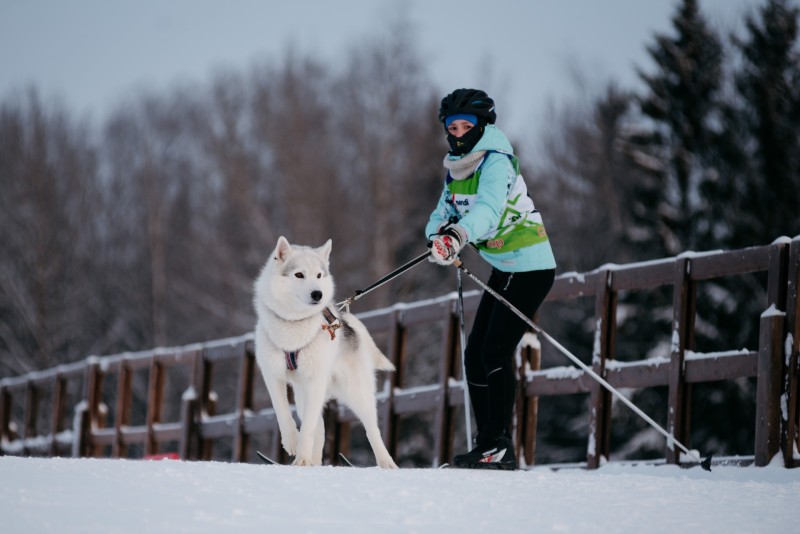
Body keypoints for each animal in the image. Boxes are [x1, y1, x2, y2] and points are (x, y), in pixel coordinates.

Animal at [253, 239, 396, 468]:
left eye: (319, 275)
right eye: (299, 274)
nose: (317, 294)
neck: (294, 325)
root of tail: (348, 322)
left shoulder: (315, 382)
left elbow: (308, 428)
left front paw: (302, 458)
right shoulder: (272, 376)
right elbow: (283, 413)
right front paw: (292, 442)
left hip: (356, 393)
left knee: (371, 429)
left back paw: (386, 462)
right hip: (304, 396)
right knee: (318, 428)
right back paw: (314, 462)